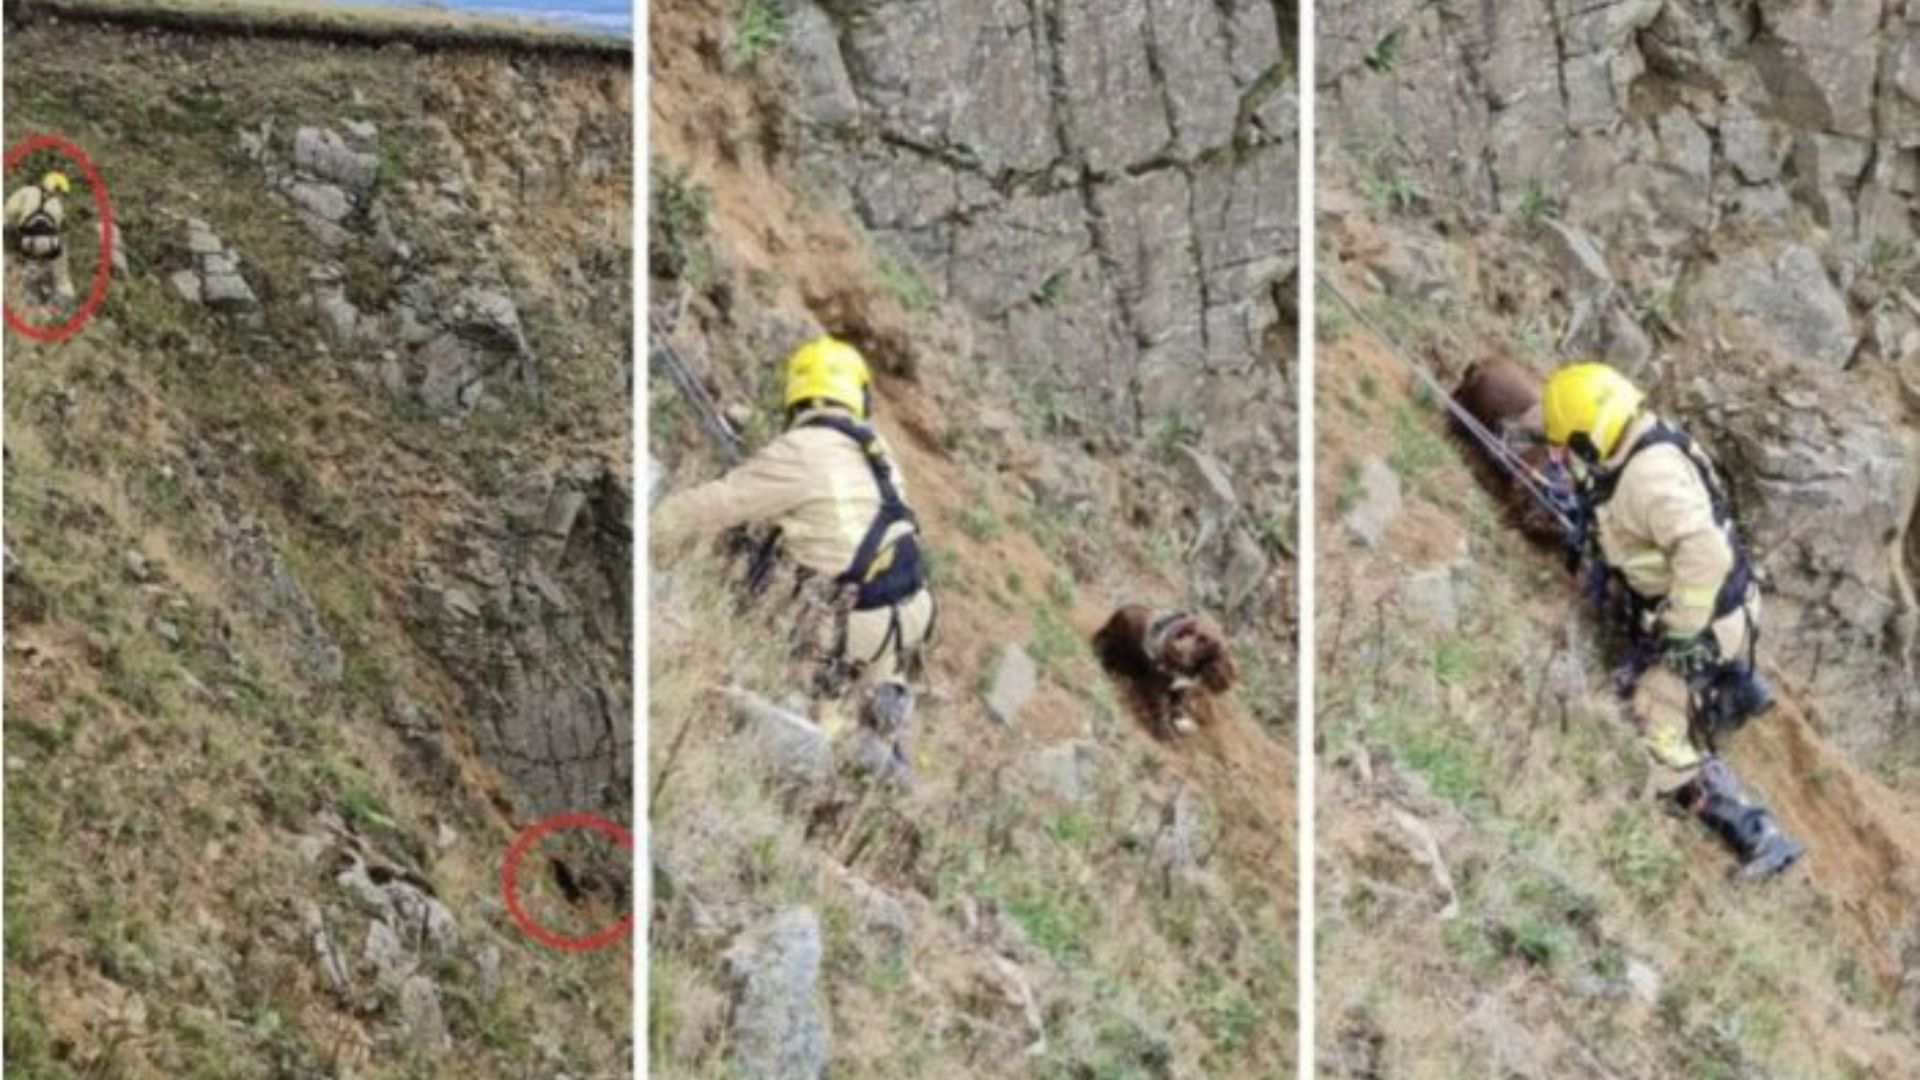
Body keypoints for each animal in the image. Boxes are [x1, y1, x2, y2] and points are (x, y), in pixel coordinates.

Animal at [1090, 599, 1236, 734]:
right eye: (1186, 631)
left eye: (1204, 640)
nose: (1175, 649)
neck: (1185, 670)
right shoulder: (1157, 685)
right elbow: (1162, 707)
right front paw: (1164, 730)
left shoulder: (1184, 689)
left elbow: (1178, 706)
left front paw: (1182, 721)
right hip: (1110, 642)